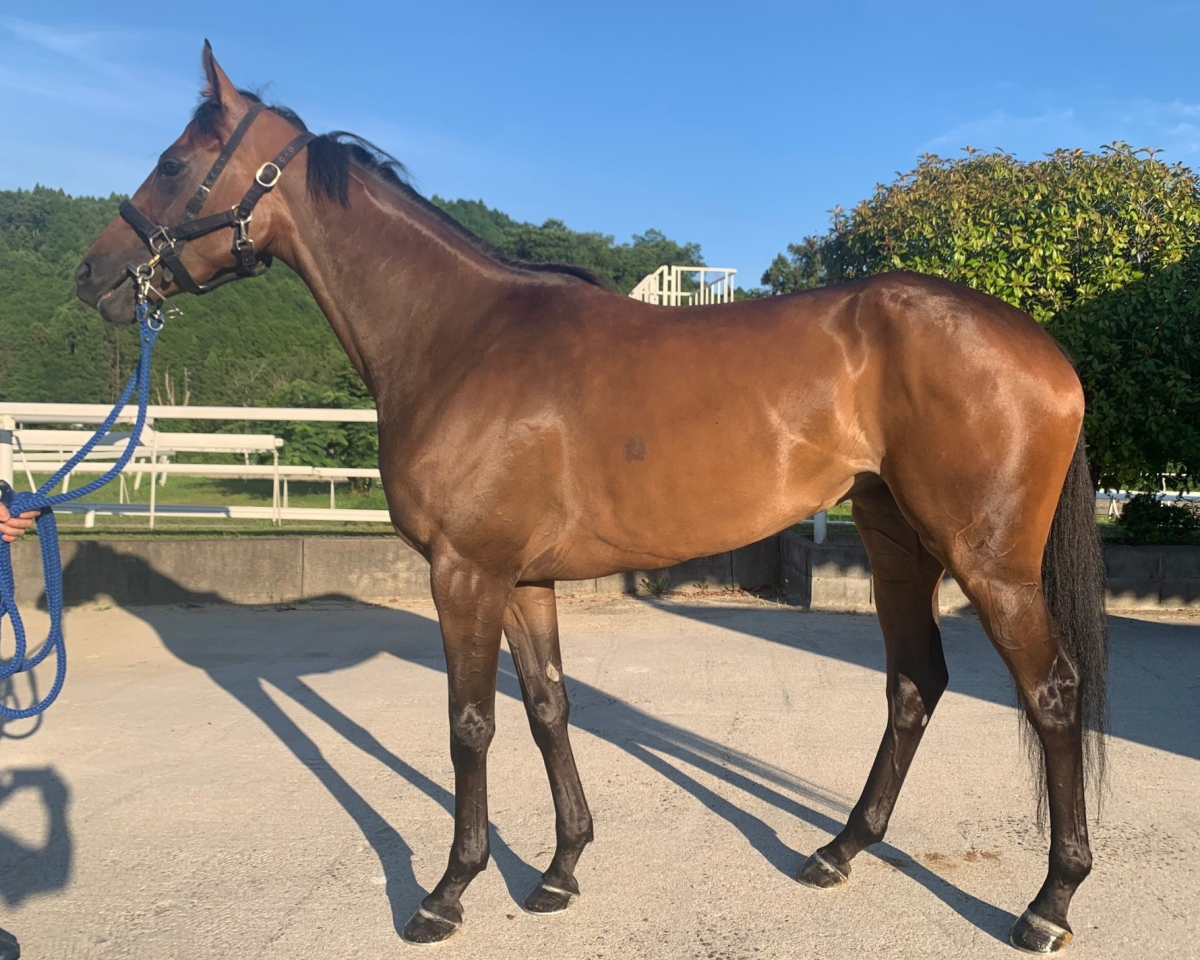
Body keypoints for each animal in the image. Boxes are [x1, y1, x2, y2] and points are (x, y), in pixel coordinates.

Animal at [75, 43, 1107, 954]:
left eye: (174, 162)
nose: (94, 275)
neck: (460, 336)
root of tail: (1043, 346)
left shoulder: (465, 574)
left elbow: (470, 726)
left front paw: (447, 893)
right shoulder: (521, 580)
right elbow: (547, 707)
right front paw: (561, 869)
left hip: (988, 562)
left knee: (1051, 695)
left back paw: (1048, 904)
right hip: (897, 546)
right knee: (913, 683)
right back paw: (839, 850)